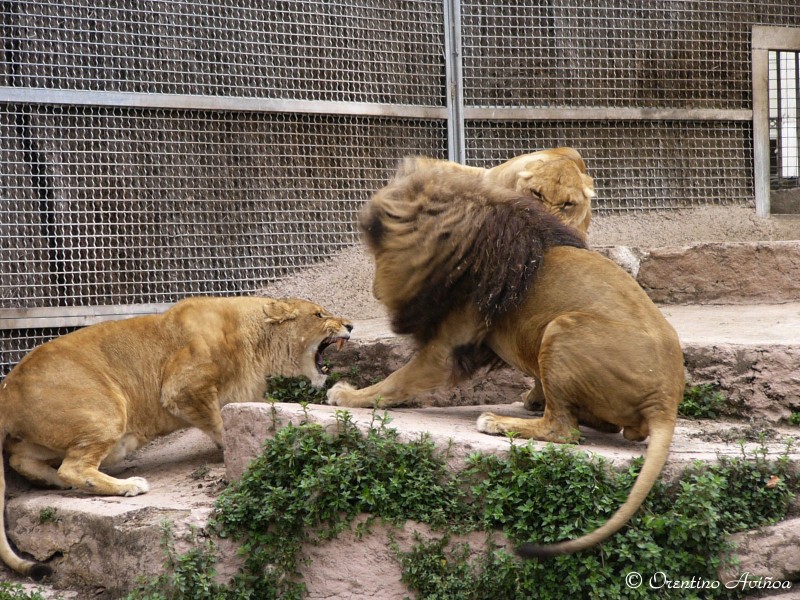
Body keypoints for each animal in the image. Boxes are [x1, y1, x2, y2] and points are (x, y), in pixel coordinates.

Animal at [0, 298, 350, 580]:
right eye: (319, 314)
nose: (350, 325)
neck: (256, 340)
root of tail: (6, 389)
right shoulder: (182, 388)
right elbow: (219, 424)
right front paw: (231, 450)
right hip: (107, 409)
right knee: (72, 467)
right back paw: (128, 486)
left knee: (22, 459)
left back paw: (58, 483)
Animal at [328, 158, 684, 556]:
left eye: (379, 253)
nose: (374, 291)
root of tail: (666, 402)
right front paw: (533, 395)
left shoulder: (449, 345)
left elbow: (394, 382)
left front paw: (348, 395)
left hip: (562, 327)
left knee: (562, 429)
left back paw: (498, 422)